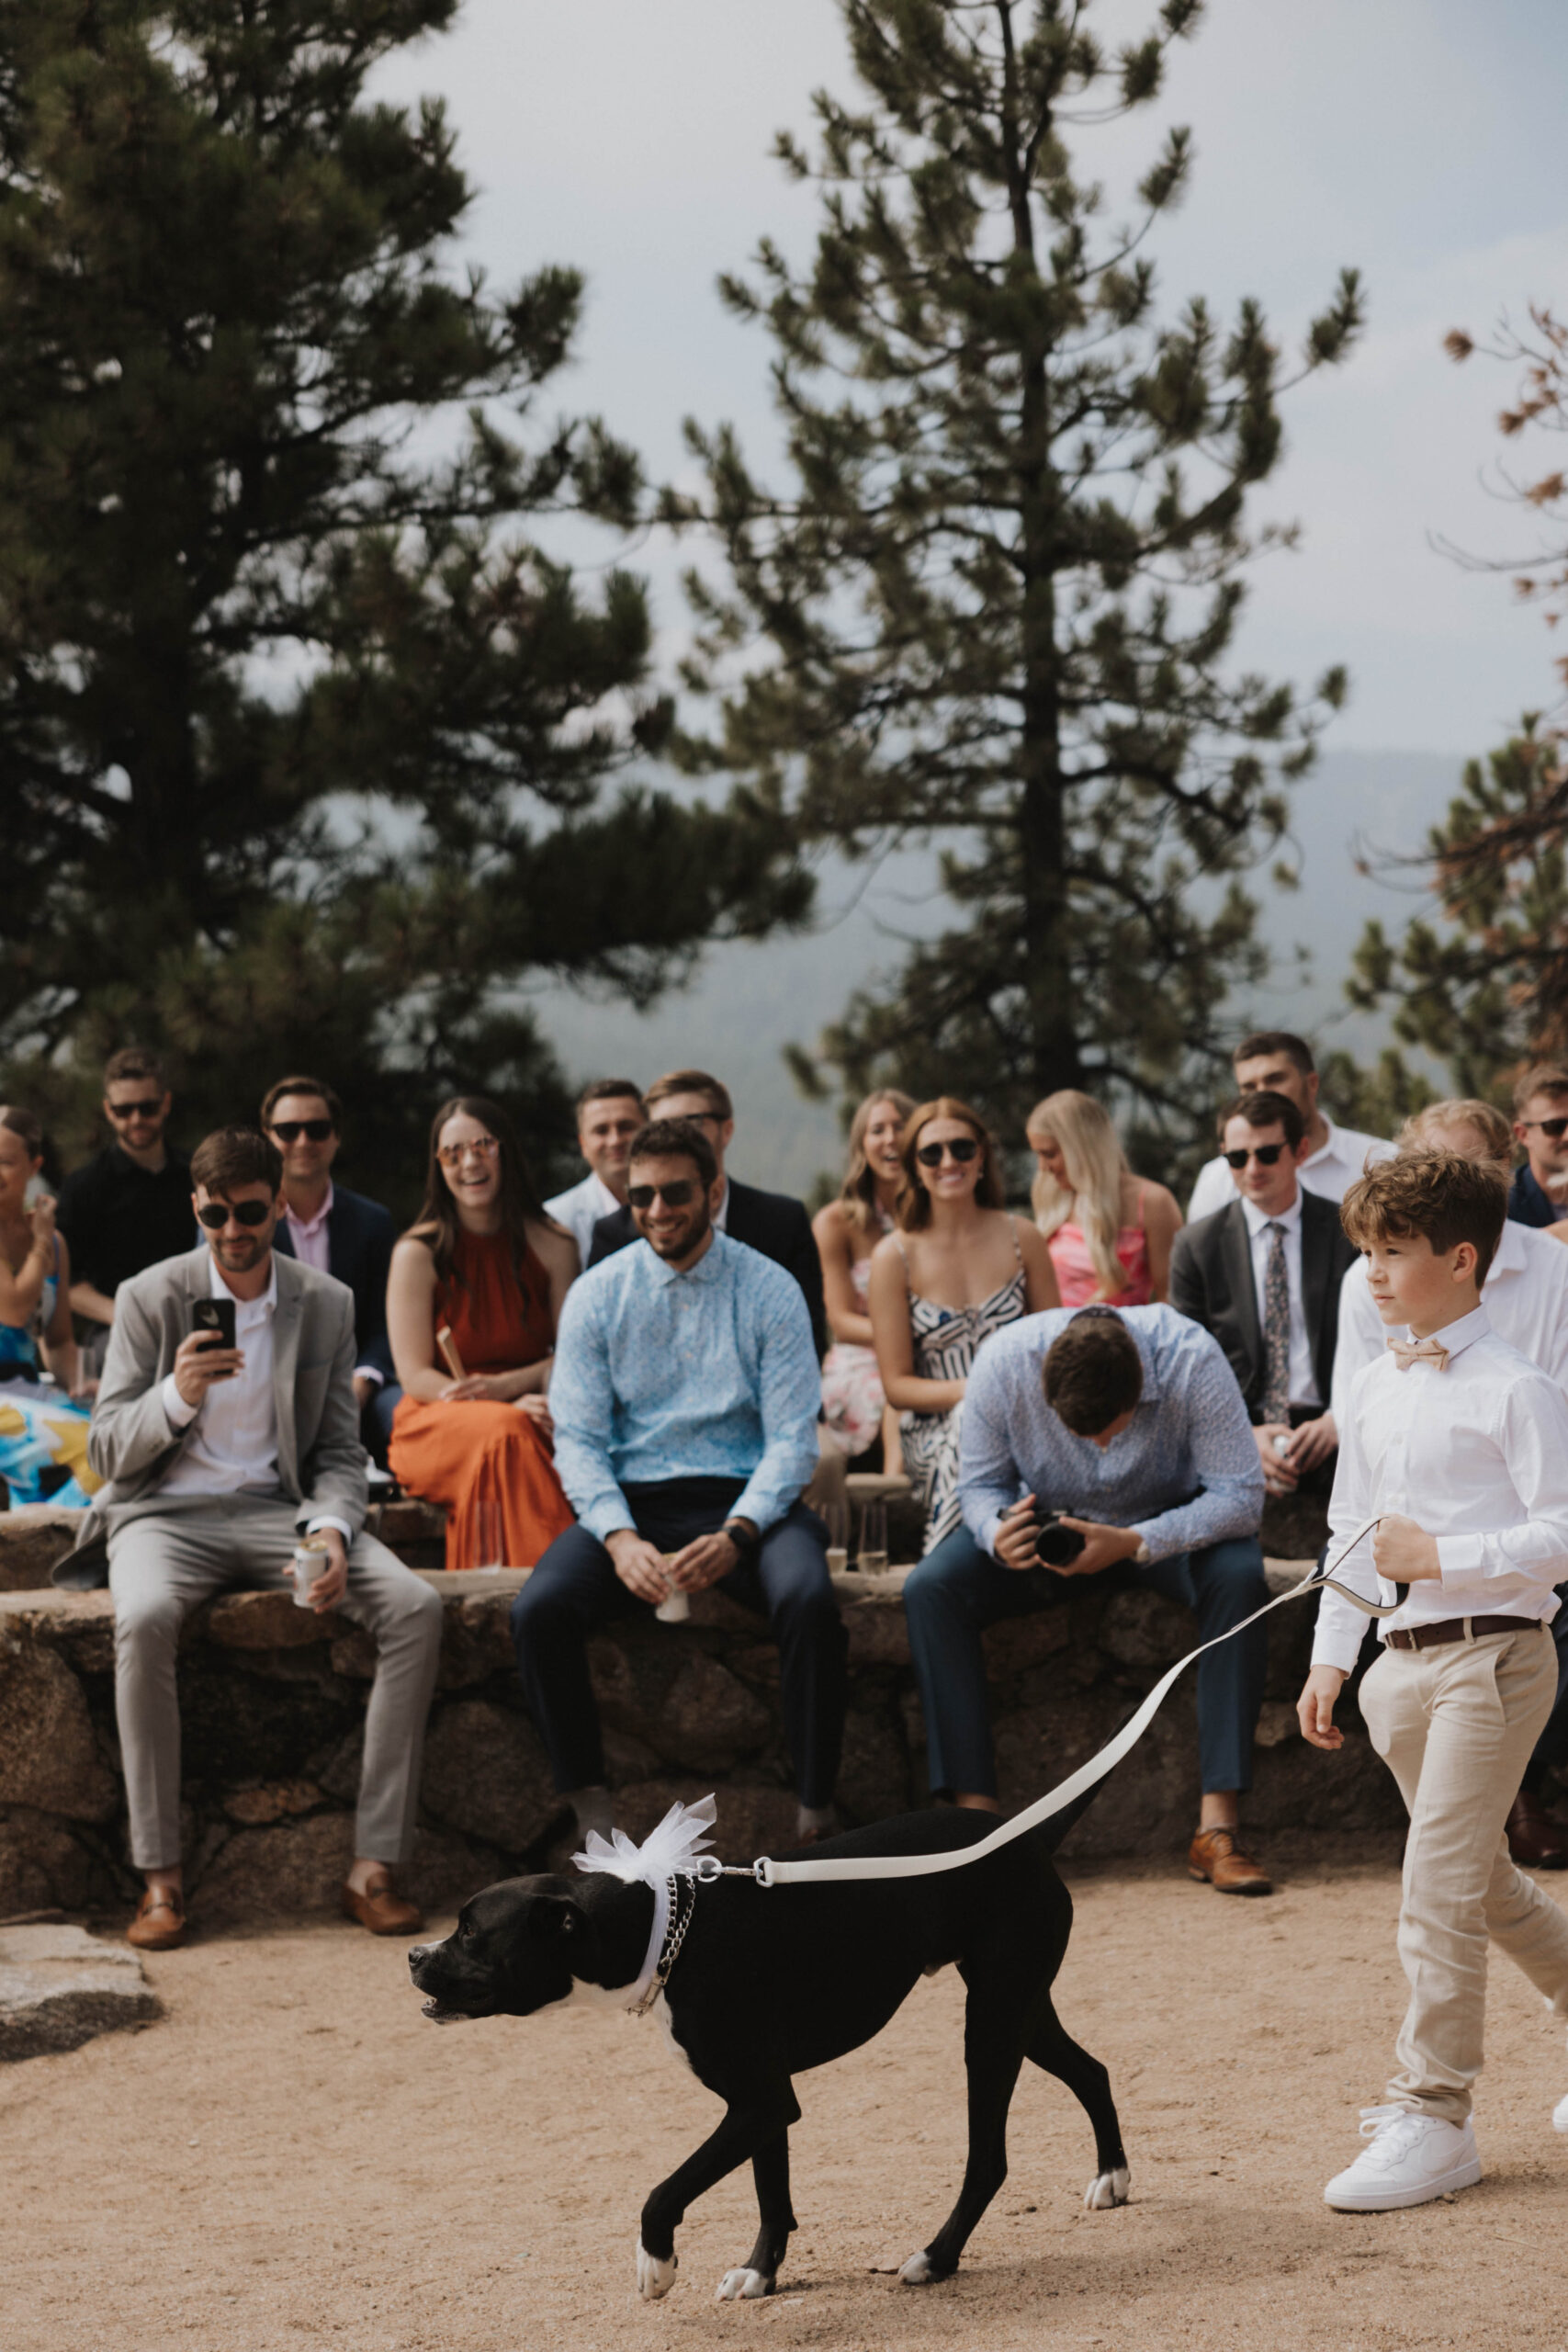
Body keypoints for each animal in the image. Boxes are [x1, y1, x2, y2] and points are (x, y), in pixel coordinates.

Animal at [411, 1796, 1128, 2295]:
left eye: (470, 1932)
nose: (414, 1955)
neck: (667, 1931)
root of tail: (1028, 1838)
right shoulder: (762, 2103)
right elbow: (770, 2194)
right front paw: (760, 2274)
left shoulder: (759, 2103)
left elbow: (664, 2191)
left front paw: (657, 2266)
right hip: (1019, 2012)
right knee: (1092, 2071)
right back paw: (1111, 2177)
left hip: (992, 2024)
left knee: (989, 2159)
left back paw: (937, 2258)